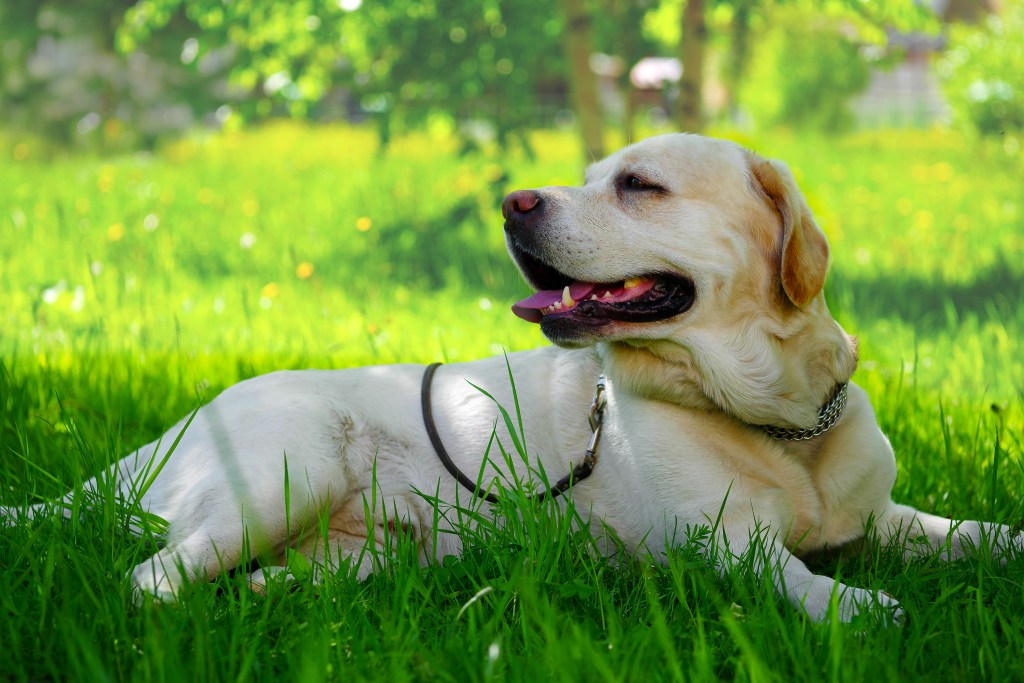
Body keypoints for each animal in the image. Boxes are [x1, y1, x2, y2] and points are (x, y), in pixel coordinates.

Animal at [6, 132, 1015, 618]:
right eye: (594, 175)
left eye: (639, 185)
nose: (513, 202)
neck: (779, 419)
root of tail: (161, 437)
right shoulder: (720, 543)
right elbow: (799, 580)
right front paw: (859, 608)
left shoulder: (885, 517)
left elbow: (973, 531)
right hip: (279, 469)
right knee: (150, 582)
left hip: (365, 549)